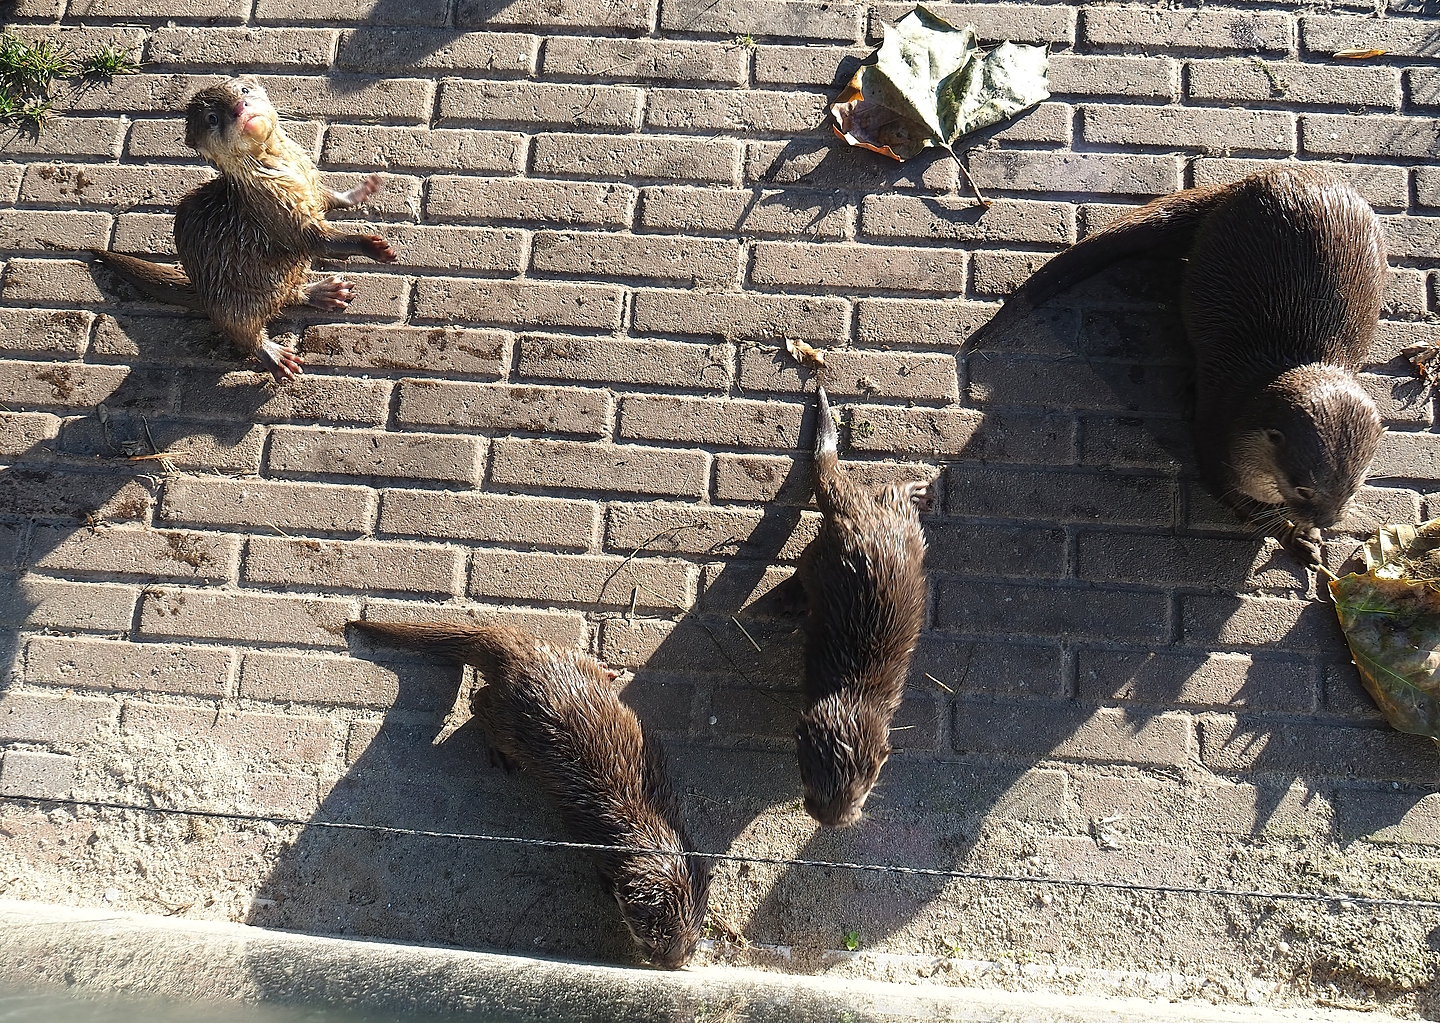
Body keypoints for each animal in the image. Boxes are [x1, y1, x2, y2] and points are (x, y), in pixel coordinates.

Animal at [92, 75, 397, 382]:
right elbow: (319, 241)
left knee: (289, 295)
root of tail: (202, 293)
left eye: (243, 90)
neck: (287, 174)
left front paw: (362, 190)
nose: (240, 107)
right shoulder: (277, 213)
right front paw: (374, 247)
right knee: (244, 332)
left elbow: (330, 198)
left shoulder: (312, 180)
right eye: (212, 118)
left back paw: (325, 292)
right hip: (234, 302)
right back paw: (277, 357)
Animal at [349, 620, 709, 969]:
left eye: (692, 936)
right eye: (653, 933)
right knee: (480, 702)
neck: (640, 824)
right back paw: (499, 752)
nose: (672, 962)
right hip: (507, 718)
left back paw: (605, 670)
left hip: (558, 660)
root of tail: (520, 655)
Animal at [783, 387, 931, 827]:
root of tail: (857, 515)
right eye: (808, 776)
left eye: (863, 784)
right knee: (891, 493)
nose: (832, 819)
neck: (850, 688)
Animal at [986, 166, 1385, 565]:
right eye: (1303, 489)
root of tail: (1241, 186)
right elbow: (1240, 504)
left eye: (1353, 488)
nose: (1329, 520)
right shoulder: (1217, 440)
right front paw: (1295, 536)